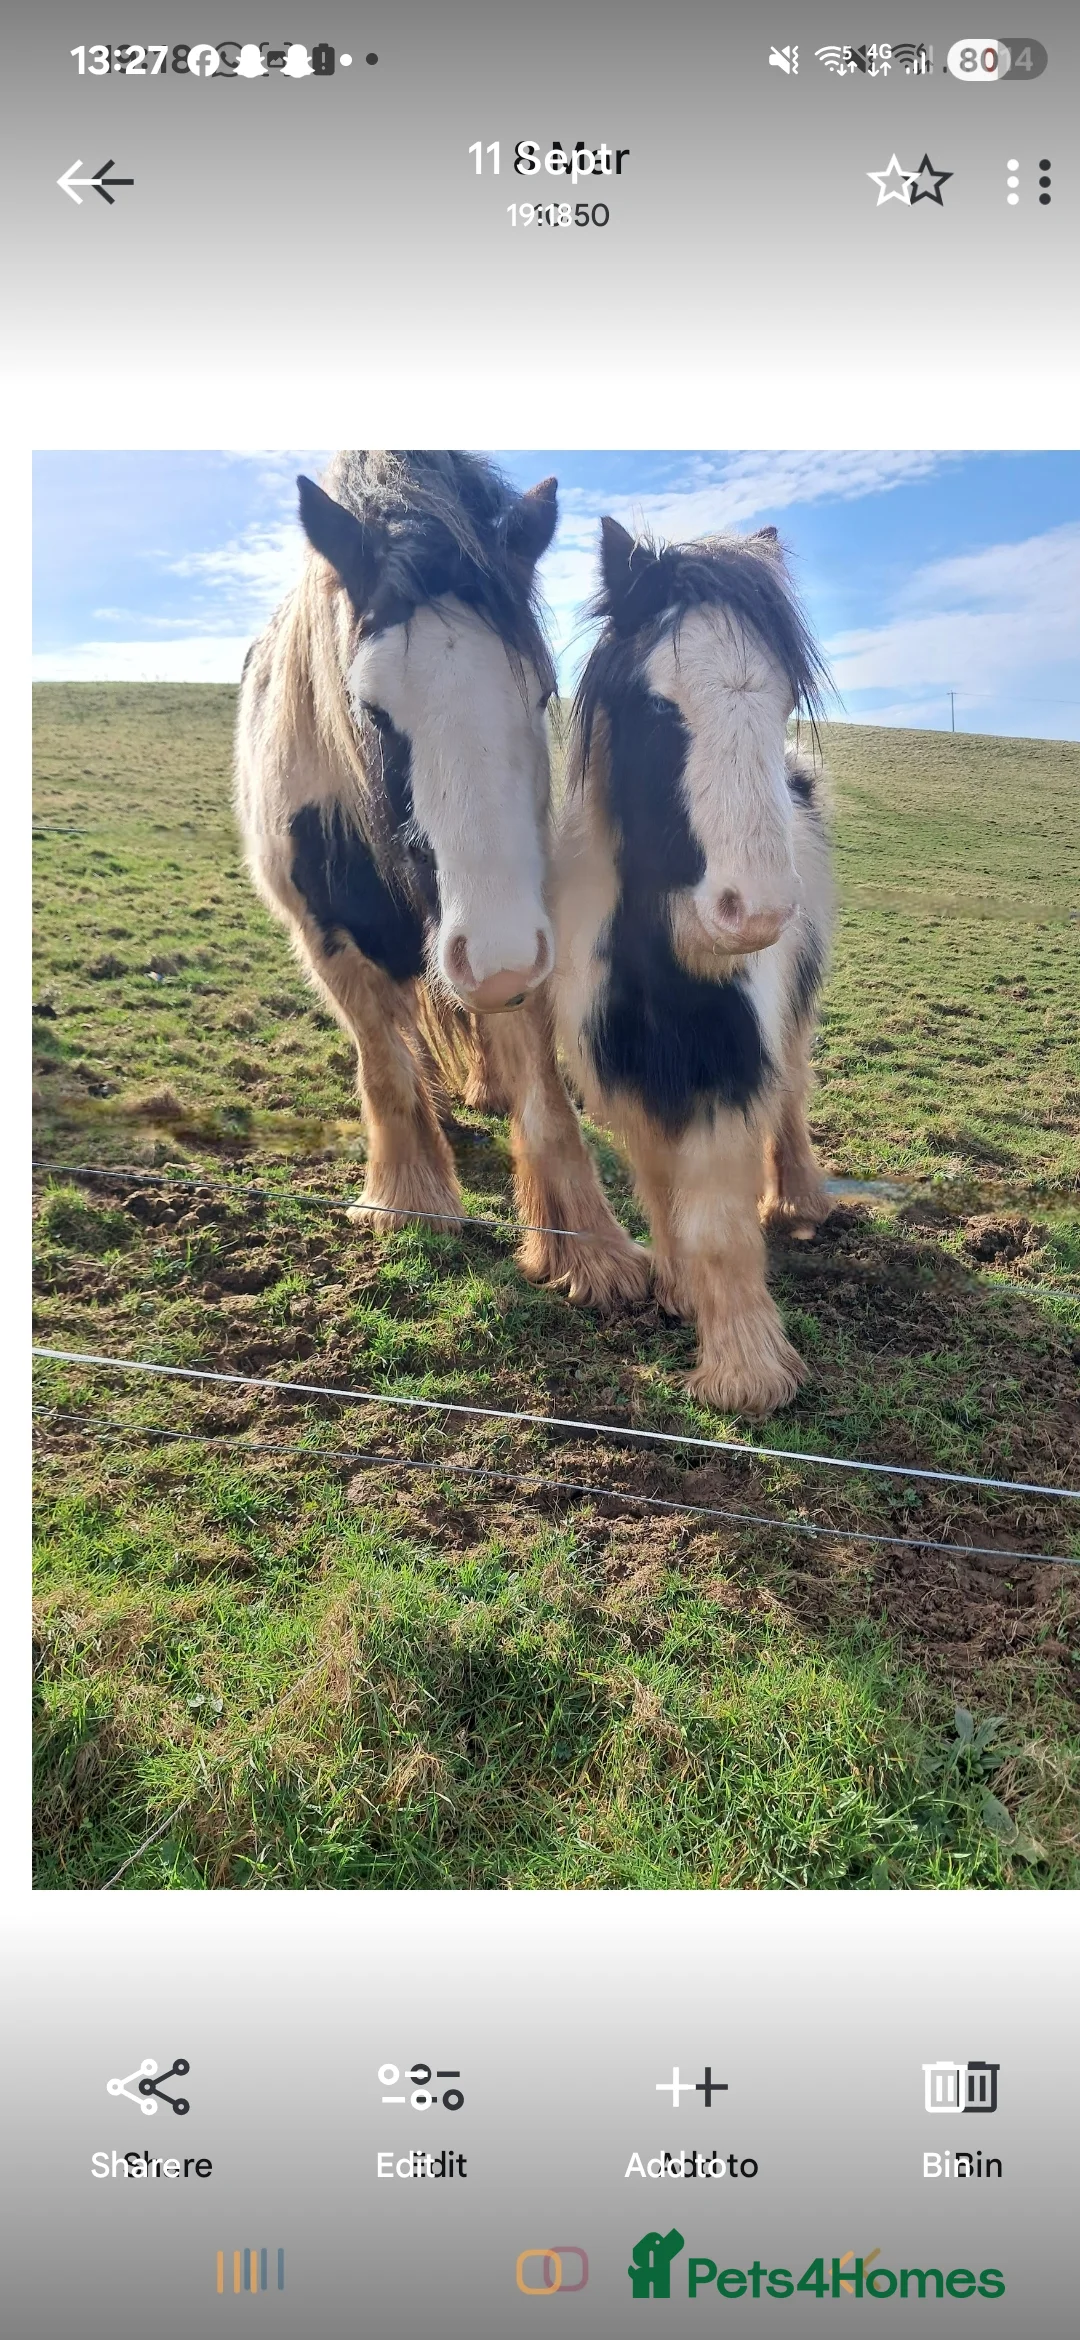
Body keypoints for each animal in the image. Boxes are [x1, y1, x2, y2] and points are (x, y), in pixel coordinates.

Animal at [234, 451, 649, 1309]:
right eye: (368, 707)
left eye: (542, 692)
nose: (496, 961)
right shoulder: (325, 938)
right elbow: (383, 1065)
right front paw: (408, 1200)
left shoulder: (528, 926)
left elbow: (544, 1094)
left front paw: (590, 1250)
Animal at [550, 517, 835, 1417]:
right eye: (658, 706)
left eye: (784, 701)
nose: (761, 914)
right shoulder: (623, 1064)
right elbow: (657, 1183)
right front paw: (676, 1288)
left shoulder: (730, 1060)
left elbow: (715, 1215)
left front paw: (746, 1371)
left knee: (794, 1090)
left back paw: (801, 1202)